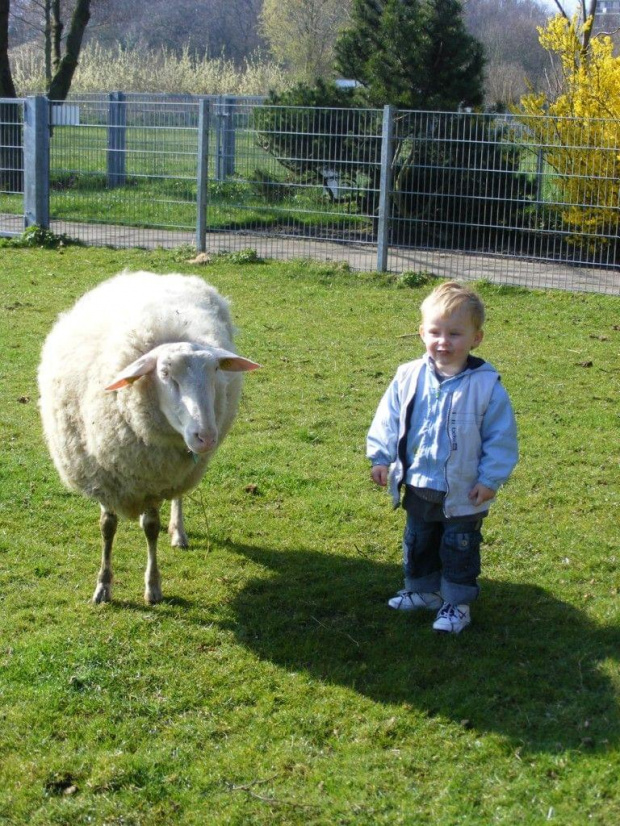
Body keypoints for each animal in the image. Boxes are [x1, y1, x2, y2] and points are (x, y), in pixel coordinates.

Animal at [37, 270, 260, 600]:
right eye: (165, 373)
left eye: (215, 372)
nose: (205, 436)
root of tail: (166, 274)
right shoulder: (104, 476)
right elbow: (107, 526)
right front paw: (103, 585)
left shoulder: (156, 479)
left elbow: (151, 527)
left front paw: (153, 585)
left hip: (177, 472)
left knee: (178, 496)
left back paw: (178, 532)